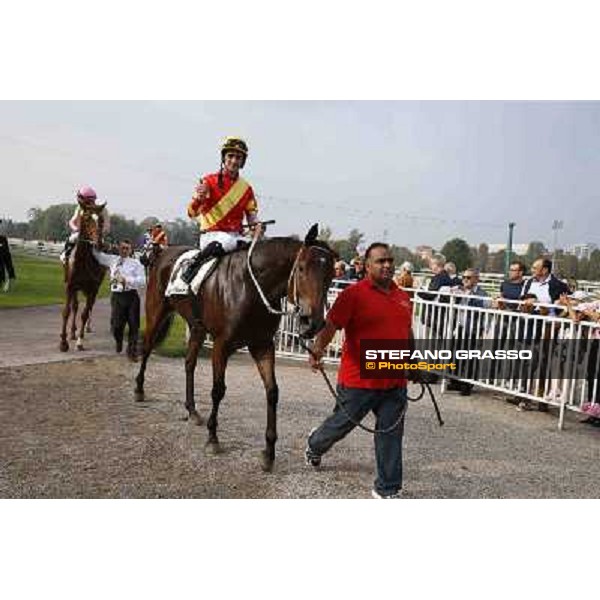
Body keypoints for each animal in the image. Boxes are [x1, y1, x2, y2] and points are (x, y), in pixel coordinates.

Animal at [59, 200, 106, 352]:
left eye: (101, 219)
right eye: (86, 218)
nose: (98, 243)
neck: (83, 261)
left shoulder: (92, 288)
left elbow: (85, 313)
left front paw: (79, 342)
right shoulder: (70, 286)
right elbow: (67, 311)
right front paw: (63, 342)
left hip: (93, 289)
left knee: (89, 307)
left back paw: (83, 331)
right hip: (76, 288)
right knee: (75, 306)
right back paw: (73, 333)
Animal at [134, 223, 338, 472]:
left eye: (331, 274)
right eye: (301, 268)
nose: (313, 323)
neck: (251, 286)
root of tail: (162, 253)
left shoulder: (262, 345)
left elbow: (272, 392)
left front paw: (269, 451)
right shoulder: (221, 344)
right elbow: (218, 390)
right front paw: (213, 438)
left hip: (197, 327)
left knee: (189, 363)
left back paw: (192, 410)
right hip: (156, 310)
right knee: (146, 347)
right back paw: (139, 389)